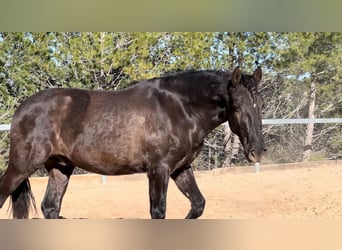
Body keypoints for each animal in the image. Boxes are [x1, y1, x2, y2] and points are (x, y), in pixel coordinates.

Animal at [0, 66, 266, 219]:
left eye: (260, 104)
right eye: (237, 106)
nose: (257, 151)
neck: (179, 107)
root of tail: (23, 108)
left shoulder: (180, 169)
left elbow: (198, 204)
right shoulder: (158, 170)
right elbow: (158, 211)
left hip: (60, 167)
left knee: (51, 207)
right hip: (22, 166)